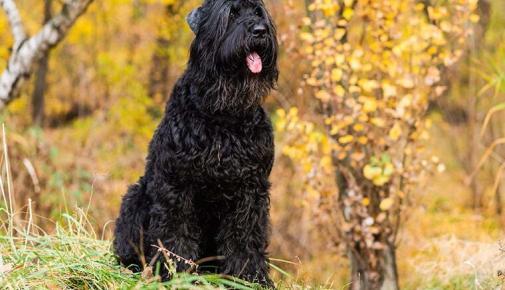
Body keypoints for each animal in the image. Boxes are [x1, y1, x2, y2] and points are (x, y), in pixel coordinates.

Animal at [113, 0, 278, 286]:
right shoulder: (177, 184)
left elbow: (245, 234)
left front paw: (250, 276)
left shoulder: (251, 189)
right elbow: (177, 230)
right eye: (231, 13)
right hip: (135, 198)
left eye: (258, 12)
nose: (260, 30)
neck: (225, 112)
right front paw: (177, 272)